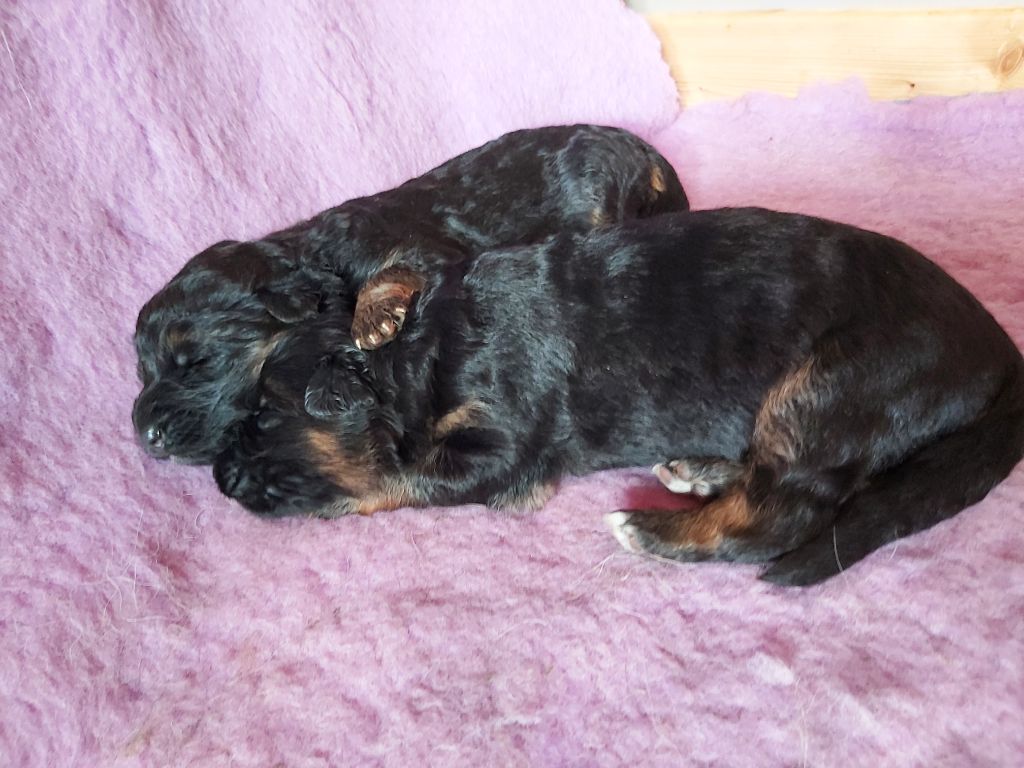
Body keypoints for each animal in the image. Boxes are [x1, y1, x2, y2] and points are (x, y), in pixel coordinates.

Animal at [130, 124, 688, 462]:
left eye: (196, 362)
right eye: (143, 372)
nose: (143, 437)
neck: (316, 255)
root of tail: (654, 157)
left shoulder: (429, 252)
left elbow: (392, 270)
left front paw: (371, 319)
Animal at [214, 207, 1024, 585]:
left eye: (263, 414)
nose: (219, 478)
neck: (431, 349)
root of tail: (1001, 351)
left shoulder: (505, 448)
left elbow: (398, 474)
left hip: (831, 384)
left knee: (783, 511)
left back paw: (653, 530)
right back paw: (699, 471)